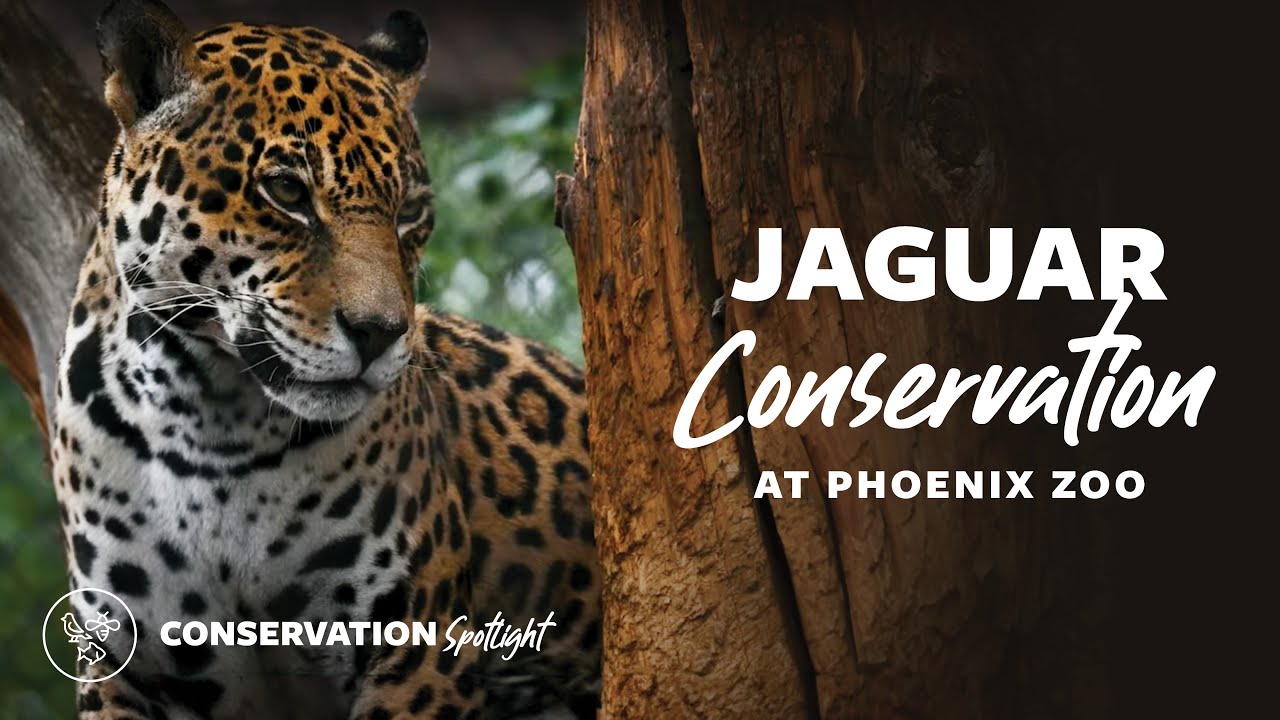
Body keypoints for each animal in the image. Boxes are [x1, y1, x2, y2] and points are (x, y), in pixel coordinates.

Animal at [47, 1, 600, 718]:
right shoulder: (126, 665)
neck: (212, 425)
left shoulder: (419, 651)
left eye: (410, 211)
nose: (380, 333)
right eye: (286, 192)